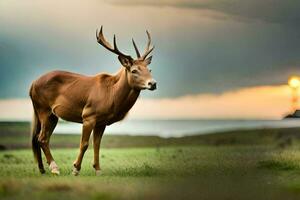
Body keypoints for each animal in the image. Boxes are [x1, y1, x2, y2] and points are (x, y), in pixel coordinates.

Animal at [29, 26, 157, 175]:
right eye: (134, 70)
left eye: (149, 69)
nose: (153, 83)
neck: (111, 95)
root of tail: (32, 85)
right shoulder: (88, 115)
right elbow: (84, 144)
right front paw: (75, 169)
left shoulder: (102, 122)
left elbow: (97, 144)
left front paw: (98, 169)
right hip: (43, 109)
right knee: (42, 138)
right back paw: (55, 168)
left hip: (50, 114)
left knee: (39, 137)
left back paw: (42, 168)